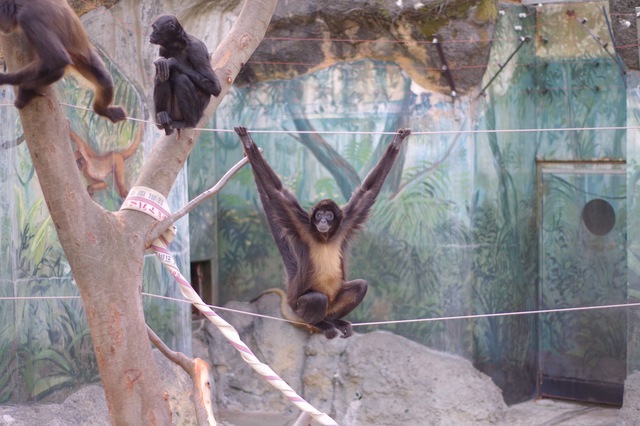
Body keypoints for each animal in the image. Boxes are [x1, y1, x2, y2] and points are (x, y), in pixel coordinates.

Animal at [0, 0, 128, 123]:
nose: (3, 29)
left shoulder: (27, 17)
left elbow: (57, 59)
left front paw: (4, 79)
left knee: (57, 70)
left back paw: (25, 91)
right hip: (84, 58)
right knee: (105, 79)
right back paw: (103, 110)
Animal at [234, 126, 410, 340]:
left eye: (328, 215)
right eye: (318, 215)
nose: (323, 221)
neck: (324, 237)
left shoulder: (345, 223)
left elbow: (367, 191)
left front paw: (397, 142)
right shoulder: (300, 222)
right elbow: (277, 190)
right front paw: (247, 142)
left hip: (333, 303)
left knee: (360, 285)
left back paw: (334, 321)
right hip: (300, 306)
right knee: (317, 298)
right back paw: (319, 324)